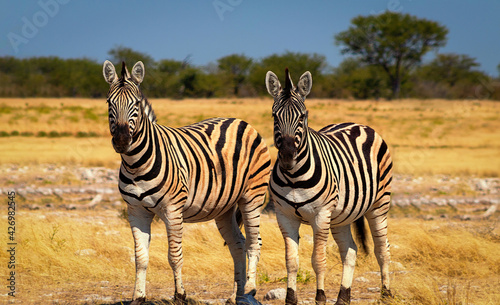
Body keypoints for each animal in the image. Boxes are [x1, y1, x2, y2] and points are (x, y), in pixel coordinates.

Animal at [102, 60, 272, 302]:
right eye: (109, 102)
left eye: (136, 103)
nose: (122, 141)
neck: (136, 164)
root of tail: (242, 122)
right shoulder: (136, 211)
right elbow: (140, 257)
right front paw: (138, 297)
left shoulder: (173, 209)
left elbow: (174, 255)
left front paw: (180, 294)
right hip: (224, 207)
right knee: (238, 244)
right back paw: (236, 296)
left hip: (252, 196)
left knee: (254, 243)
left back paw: (250, 289)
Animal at [266, 69, 394, 304]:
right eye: (274, 116)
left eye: (303, 116)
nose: (287, 157)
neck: (294, 177)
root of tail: (358, 124)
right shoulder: (284, 215)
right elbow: (291, 261)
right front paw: (291, 299)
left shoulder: (321, 214)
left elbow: (318, 260)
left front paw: (320, 297)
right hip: (341, 216)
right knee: (350, 251)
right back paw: (343, 296)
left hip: (380, 203)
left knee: (382, 249)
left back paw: (386, 293)